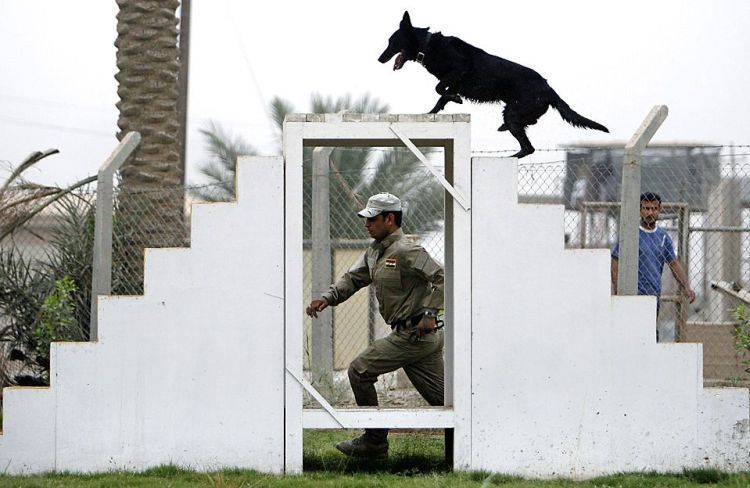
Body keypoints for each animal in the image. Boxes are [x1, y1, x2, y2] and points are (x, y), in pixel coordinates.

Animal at [382, 11, 612, 157]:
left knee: (528, 147)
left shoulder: (459, 70)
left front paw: (455, 100)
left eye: (392, 42)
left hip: (513, 112)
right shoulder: (454, 81)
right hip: (515, 111)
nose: (379, 59)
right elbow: (441, 96)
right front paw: (433, 112)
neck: (429, 46)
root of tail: (549, 89)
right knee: (529, 128)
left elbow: (439, 88)